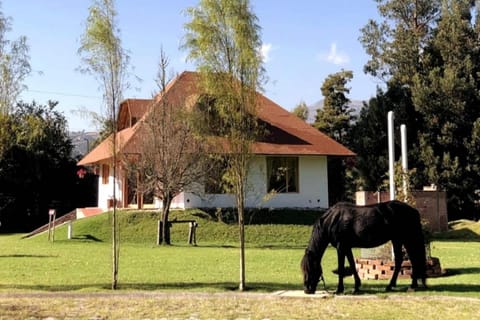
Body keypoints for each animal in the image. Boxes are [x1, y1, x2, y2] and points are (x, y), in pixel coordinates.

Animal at [300, 201, 428, 294]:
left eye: (309, 268)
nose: (307, 289)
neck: (333, 220)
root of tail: (413, 211)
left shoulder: (341, 247)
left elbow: (341, 268)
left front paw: (339, 290)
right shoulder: (347, 247)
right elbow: (352, 264)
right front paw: (357, 286)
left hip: (406, 239)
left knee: (413, 259)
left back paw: (410, 286)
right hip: (398, 240)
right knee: (403, 260)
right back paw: (395, 285)